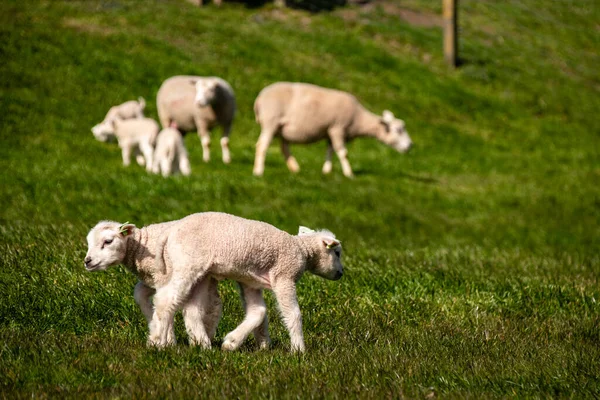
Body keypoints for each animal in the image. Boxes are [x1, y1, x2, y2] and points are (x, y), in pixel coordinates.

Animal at [86, 212, 344, 354]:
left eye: (107, 241)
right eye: (337, 252)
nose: (341, 273)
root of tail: (172, 234)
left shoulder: (250, 281)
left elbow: (259, 313)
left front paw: (256, 344)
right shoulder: (284, 276)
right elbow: (293, 314)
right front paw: (299, 349)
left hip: (200, 274)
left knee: (191, 309)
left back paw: (200, 342)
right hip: (188, 267)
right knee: (168, 301)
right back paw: (164, 342)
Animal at [252, 82, 412, 177]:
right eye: (399, 130)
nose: (410, 145)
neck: (358, 119)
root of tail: (259, 99)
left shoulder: (330, 132)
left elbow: (330, 151)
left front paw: (326, 171)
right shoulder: (337, 128)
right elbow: (343, 153)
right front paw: (349, 174)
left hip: (281, 129)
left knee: (284, 148)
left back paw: (295, 169)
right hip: (271, 121)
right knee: (262, 145)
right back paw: (258, 171)